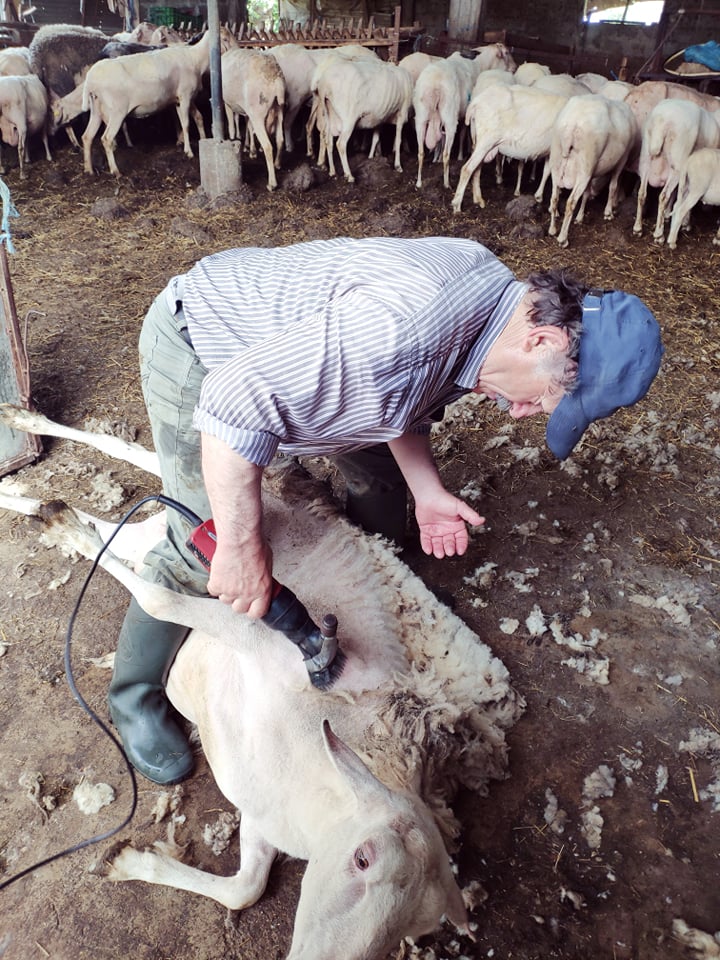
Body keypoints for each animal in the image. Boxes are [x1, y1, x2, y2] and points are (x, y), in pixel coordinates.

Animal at [0, 404, 524, 960]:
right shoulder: (257, 634)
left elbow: (244, 889)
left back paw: (40, 493)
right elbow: (158, 601)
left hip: (167, 527)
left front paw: (131, 862)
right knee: (136, 479)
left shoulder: (261, 815)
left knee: (128, 500)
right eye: (362, 859)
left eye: (418, 927)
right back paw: (53, 505)